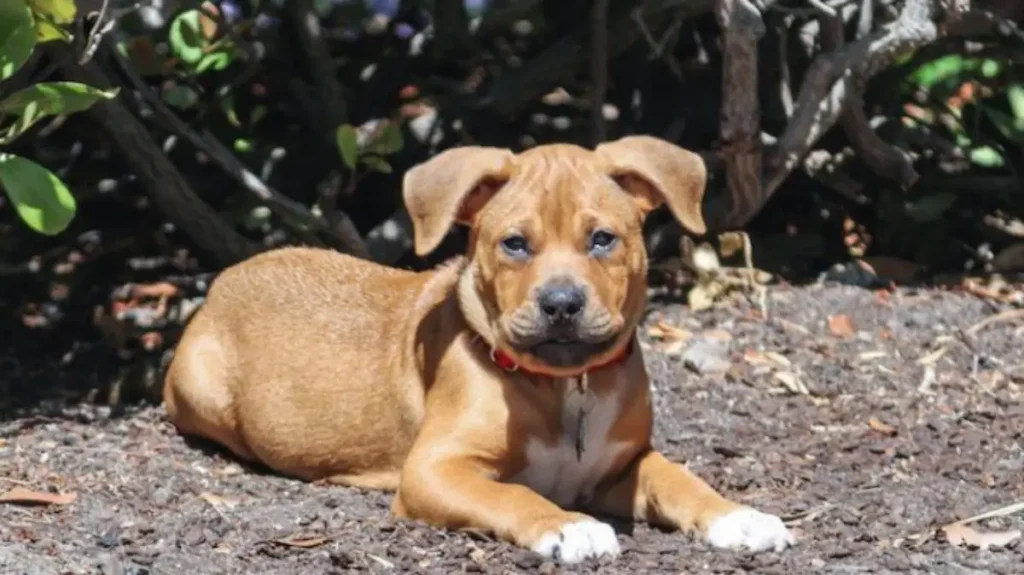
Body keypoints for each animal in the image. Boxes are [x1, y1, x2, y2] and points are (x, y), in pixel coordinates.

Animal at [163, 136, 794, 560]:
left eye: (602, 239)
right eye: (514, 244)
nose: (561, 303)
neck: (565, 387)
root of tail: (226, 278)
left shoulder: (626, 463)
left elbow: (681, 481)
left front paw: (737, 517)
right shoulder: (436, 469)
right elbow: (512, 497)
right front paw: (568, 526)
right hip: (202, 392)